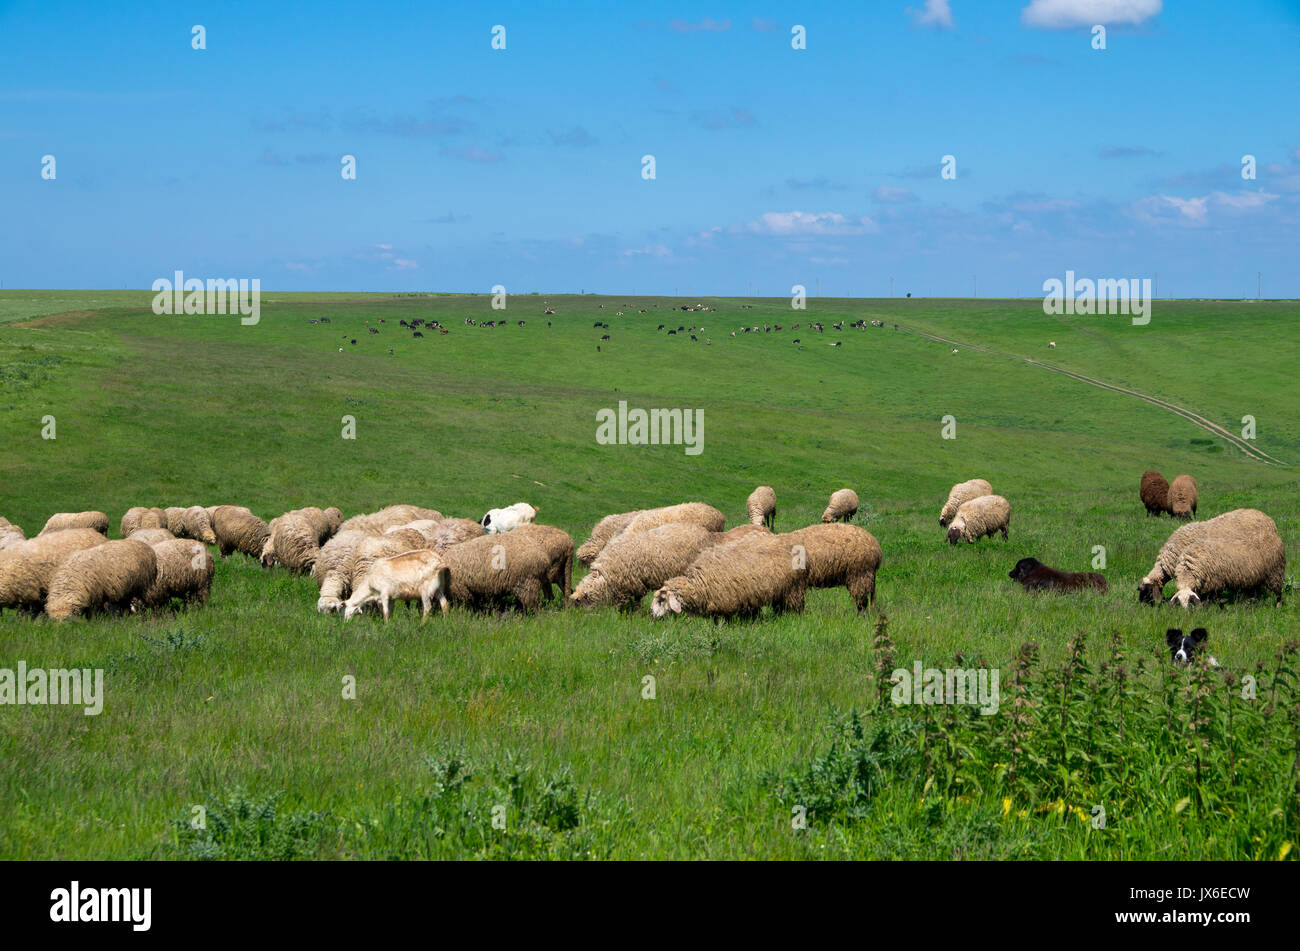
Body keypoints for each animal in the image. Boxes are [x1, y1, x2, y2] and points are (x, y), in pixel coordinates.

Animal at [650, 530, 811, 621]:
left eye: (661, 600)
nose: (652, 616)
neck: (699, 583)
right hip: (781, 589)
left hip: (794, 588)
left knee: (794, 608)